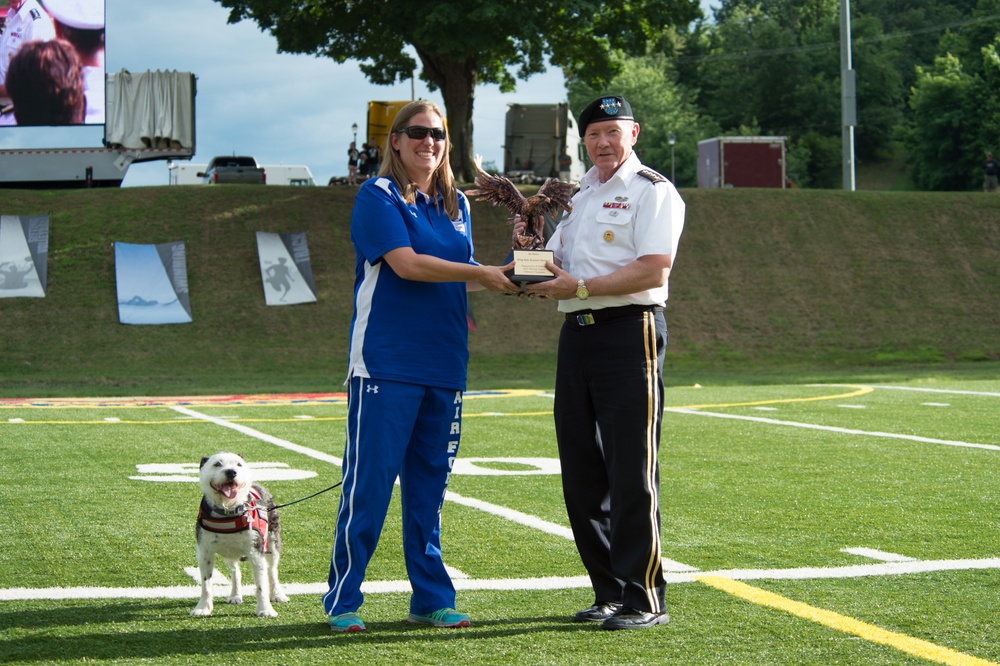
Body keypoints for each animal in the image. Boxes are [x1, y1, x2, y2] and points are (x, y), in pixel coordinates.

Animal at [190, 452, 290, 616]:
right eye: (217, 464)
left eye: (238, 464)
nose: (231, 472)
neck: (228, 511)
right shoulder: (204, 552)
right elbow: (206, 584)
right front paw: (203, 607)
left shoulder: (256, 550)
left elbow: (261, 584)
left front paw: (265, 609)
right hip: (229, 550)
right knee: (235, 571)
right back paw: (235, 595)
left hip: (273, 540)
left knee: (272, 570)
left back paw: (277, 594)